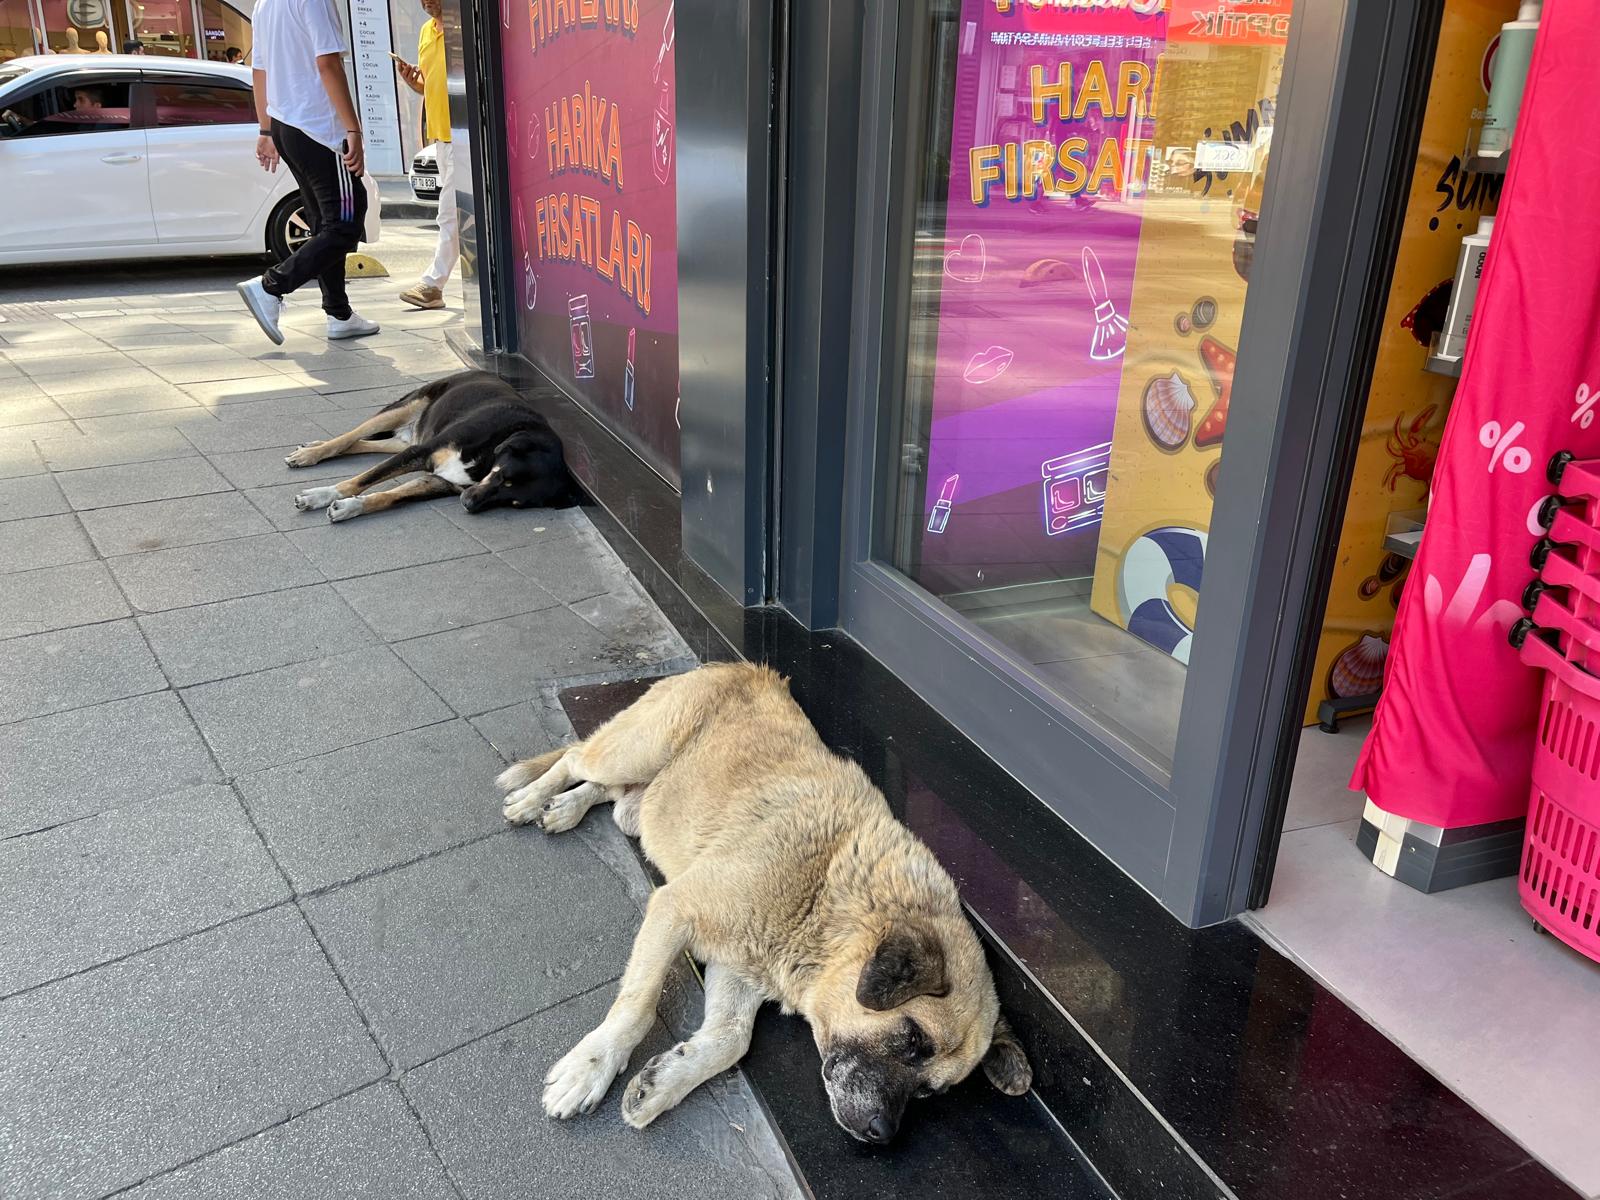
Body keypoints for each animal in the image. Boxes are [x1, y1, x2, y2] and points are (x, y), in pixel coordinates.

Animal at [286, 366, 576, 518]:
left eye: (515, 502)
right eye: (502, 476)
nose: (468, 504)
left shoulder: (436, 480)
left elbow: (390, 497)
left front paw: (352, 507)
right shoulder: (421, 452)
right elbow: (359, 480)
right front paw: (320, 495)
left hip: (405, 441)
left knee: (363, 443)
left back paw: (311, 446)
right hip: (404, 410)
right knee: (349, 436)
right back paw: (311, 454)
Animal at [492, 668, 1030, 1145]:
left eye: (927, 1094)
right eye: (914, 1038)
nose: (882, 1135)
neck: (828, 899)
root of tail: (740, 665)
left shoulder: (739, 967)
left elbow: (731, 1040)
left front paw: (664, 1083)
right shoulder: (675, 908)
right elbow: (637, 1005)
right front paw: (592, 1068)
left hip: (639, 801)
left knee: (607, 792)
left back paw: (566, 807)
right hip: (633, 751)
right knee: (575, 758)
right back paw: (533, 797)